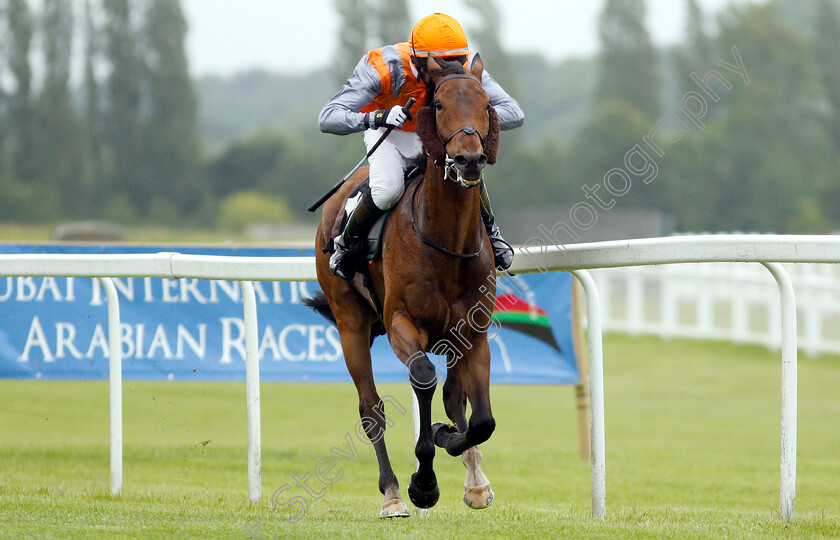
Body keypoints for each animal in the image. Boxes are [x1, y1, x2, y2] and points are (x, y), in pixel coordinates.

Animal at [308, 54, 506, 520]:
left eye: (486, 103)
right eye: (438, 104)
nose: (469, 160)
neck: (447, 243)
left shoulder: (472, 333)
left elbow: (479, 418)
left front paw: (451, 443)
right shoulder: (402, 321)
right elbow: (422, 378)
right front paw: (423, 484)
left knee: (455, 399)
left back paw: (473, 480)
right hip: (350, 323)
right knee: (371, 408)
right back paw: (393, 493)